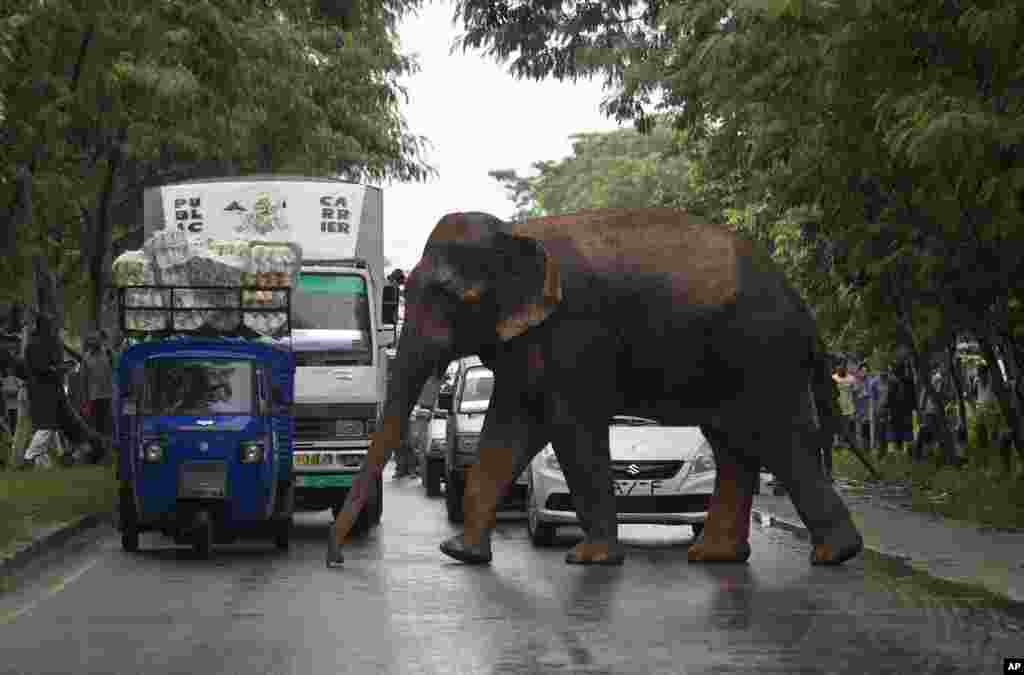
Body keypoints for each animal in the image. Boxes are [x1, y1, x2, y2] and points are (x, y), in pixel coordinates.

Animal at [329, 208, 864, 569]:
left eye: (454, 297)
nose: (337, 559)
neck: (517, 234)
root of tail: (805, 309)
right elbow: (507, 428)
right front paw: (461, 553)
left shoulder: (575, 333)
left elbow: (572, 429)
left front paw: (590, 559)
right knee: (734, 443)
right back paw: (714, 556)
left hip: (762, 354)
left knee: (777, 437)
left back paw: (833, 555)